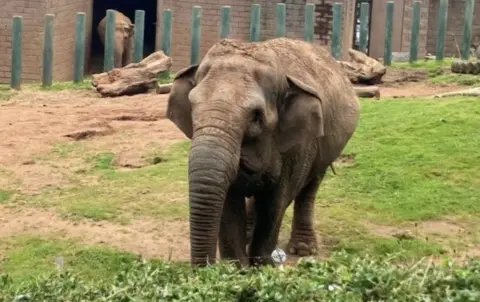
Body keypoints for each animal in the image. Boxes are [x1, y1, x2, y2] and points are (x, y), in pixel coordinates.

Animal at [167, 37, 358, 266]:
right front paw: (235, 267)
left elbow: (275, 202)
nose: (206, 268)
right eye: (192, 108)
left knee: (310, 186)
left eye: (256, 117)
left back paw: (303, 249)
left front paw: (260, 267)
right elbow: (230, 200)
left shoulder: (299, 144)